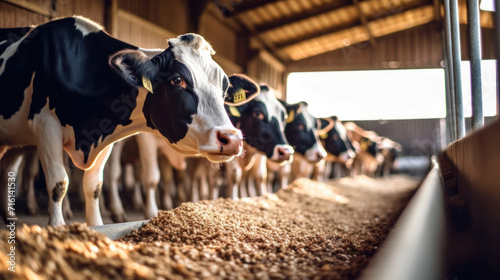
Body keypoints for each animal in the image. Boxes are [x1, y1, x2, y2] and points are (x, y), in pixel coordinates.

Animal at [0, 15, 246, 228]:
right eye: (177, 80)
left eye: (225, 88)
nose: (232, 138)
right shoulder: (45, 124)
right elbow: (58, 183)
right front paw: (58, 227)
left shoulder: (105, 139)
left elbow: (94, 185)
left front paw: (95, 225)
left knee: (8, 171)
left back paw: (9, 216)